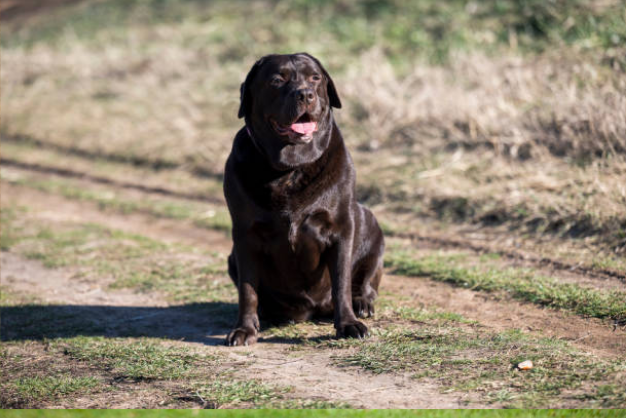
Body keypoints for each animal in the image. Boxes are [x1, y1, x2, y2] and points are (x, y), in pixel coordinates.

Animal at [222, 53, 382, 346]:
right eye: (277, 80)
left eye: (315, 78)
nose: (306, 94)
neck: (290, 169)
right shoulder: (244, 235)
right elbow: (247, 290)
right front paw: (244, 329)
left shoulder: (341, 229)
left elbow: (341, 281)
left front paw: (349, 324)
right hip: (231, 257)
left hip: (371, 226)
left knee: (365, 278)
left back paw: (362, 303)